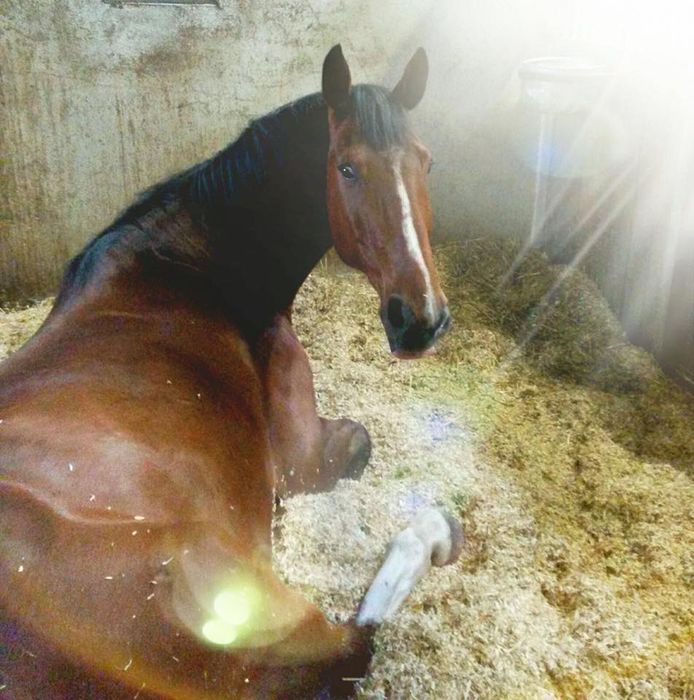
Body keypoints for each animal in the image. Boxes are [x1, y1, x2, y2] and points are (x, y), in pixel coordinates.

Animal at [0, 46, 462, 696]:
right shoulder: (299, 460)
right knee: (357, 641)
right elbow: (354, 445)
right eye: (346, 168)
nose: (420, 320)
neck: (191, 266)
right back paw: (436, 531)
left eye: (427, 161)